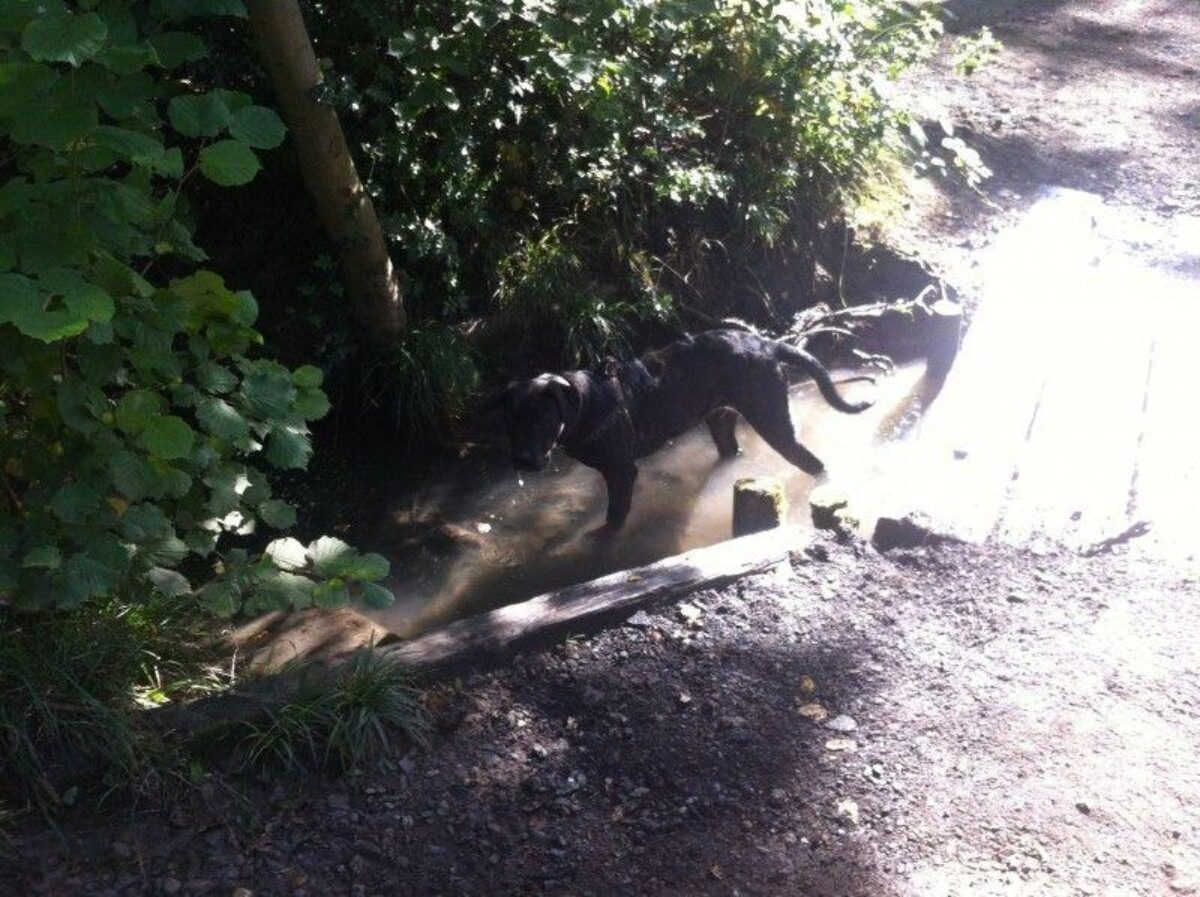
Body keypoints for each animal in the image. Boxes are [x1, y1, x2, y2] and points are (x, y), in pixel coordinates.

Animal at [499, 328, 873, 532]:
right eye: (510, 423)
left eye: (542, 420)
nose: (521, 460)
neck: (587, 403)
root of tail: (765, 344)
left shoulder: (621, 471)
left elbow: (615, 515)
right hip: (722, 422)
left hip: (773, 421)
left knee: (813, 462)